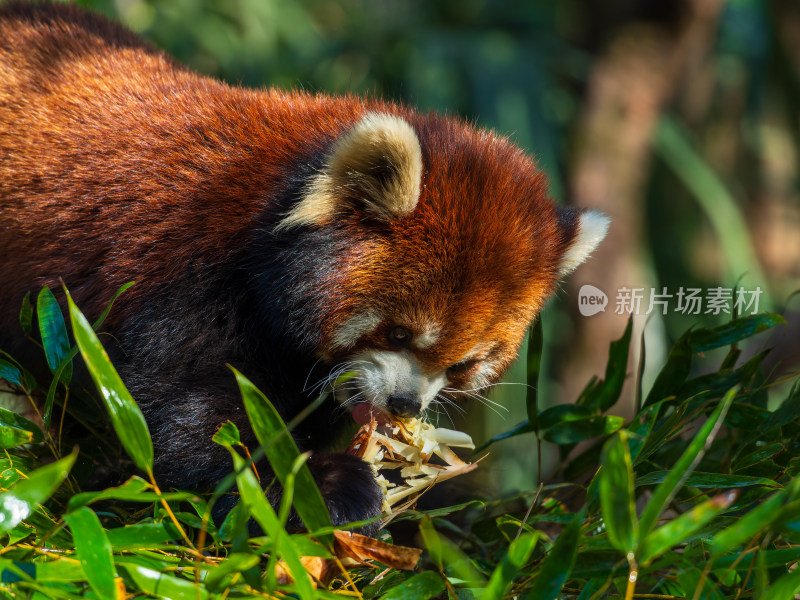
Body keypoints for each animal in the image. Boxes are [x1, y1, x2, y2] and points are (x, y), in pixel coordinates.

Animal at [0, 2, 608, 532]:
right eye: (398, 332)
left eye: (463, 365)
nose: (404, 404)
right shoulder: (182, 277)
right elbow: (193, 417)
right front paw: (324, 486)